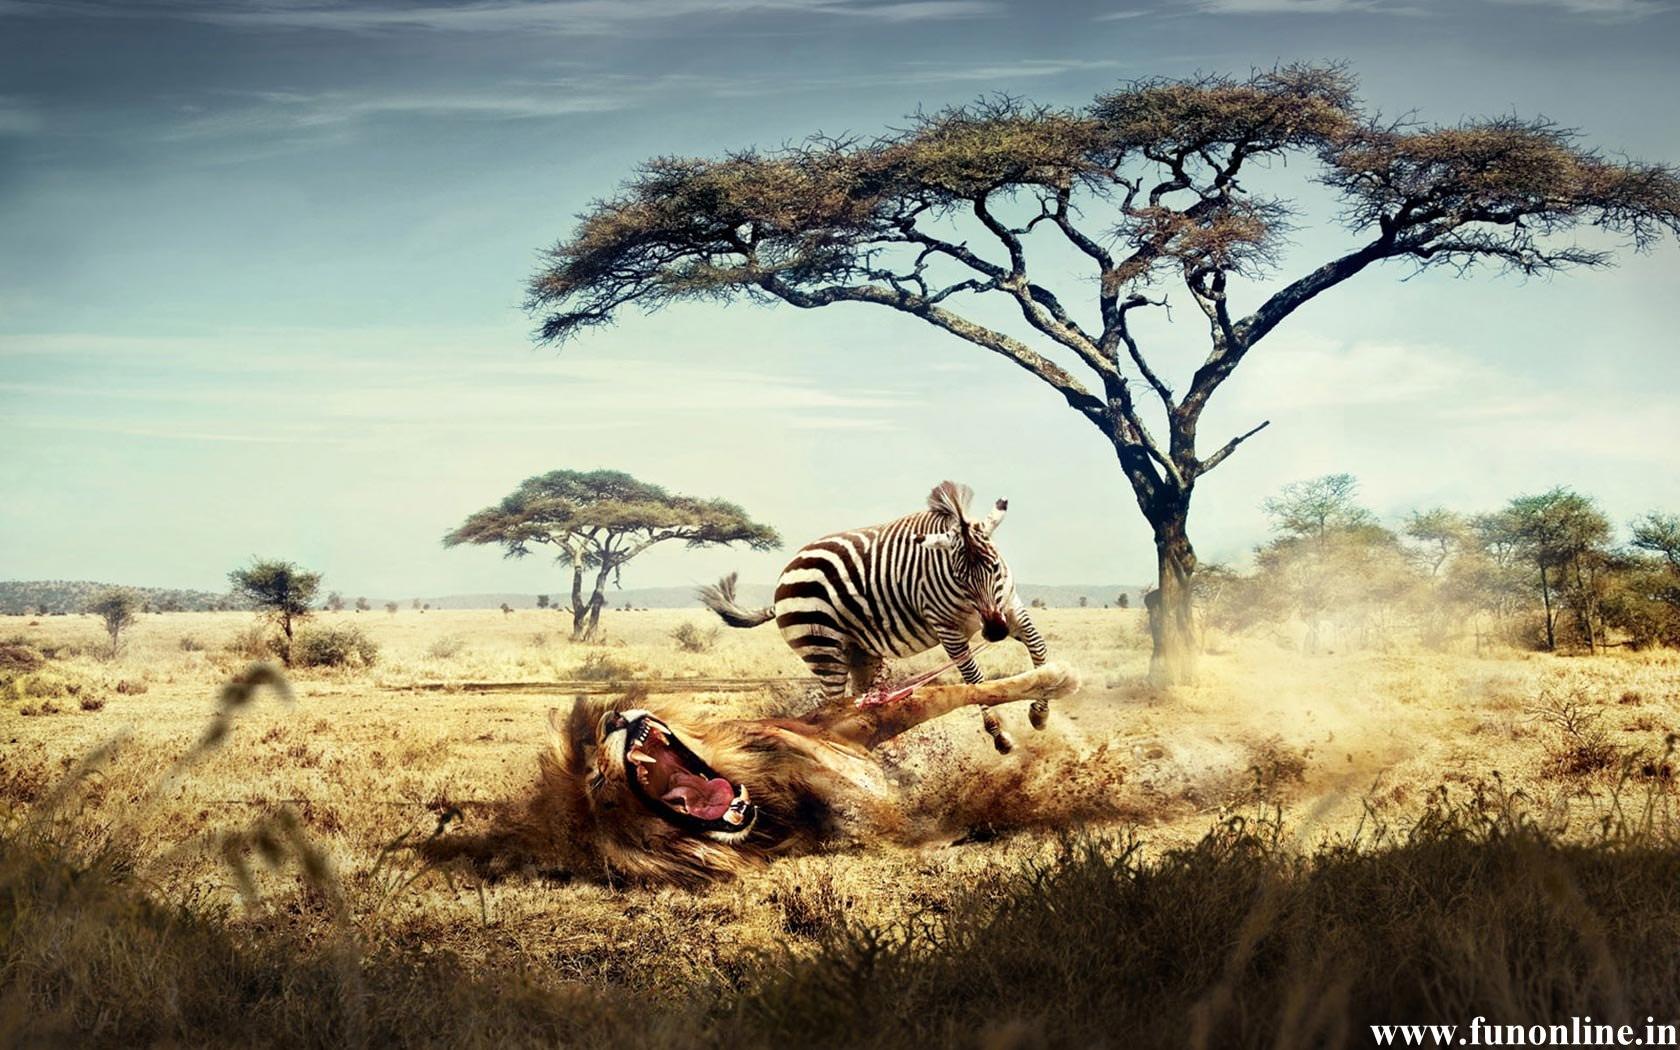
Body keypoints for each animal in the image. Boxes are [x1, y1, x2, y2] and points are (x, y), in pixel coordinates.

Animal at [698, 481, 1051, 753]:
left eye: (994, 567)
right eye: (960, 577)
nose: (994, 632)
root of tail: (784, 575)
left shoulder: (1009, 606)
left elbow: (1039, 649)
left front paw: (1040, 713)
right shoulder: (947, 629)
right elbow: (976, 681)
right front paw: (1000, 735)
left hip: (860, 652)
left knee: (858, 704)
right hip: (822, 649)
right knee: (830, 706)